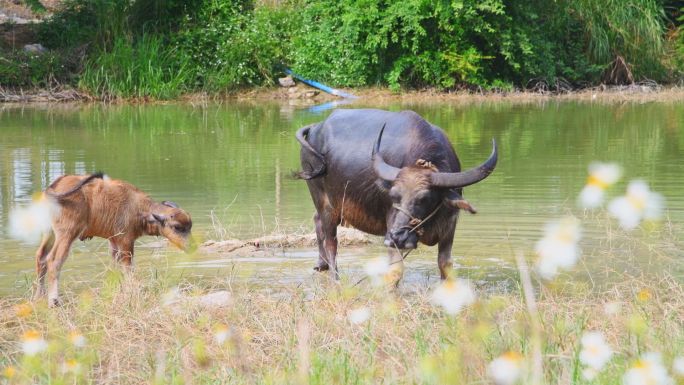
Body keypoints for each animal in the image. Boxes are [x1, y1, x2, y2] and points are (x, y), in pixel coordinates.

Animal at [30, 172, 194, 304]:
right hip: (66, 234)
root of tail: (53, 187)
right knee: (54, 260)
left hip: (49, 233)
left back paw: (39, 297)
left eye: (190, 226)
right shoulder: (126, 242)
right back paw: (54, 301)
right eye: (177, 227)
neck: (138, 208)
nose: (192, 247)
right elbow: (128, 268)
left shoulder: (114, 242)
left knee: (40, 257)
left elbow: (115, 266)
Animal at [294, 108, 496, 280]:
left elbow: (445, 264)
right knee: (331, 241)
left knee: (317, 220)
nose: (397, 237)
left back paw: (321, 265)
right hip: (324, 201)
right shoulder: (390, 225)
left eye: (424, 199)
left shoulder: (449, 226)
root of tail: (315, 127)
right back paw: (335, 278)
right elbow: (396, 269)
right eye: (394, 197)